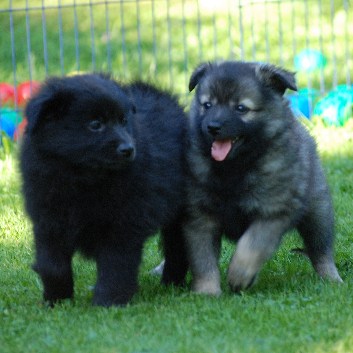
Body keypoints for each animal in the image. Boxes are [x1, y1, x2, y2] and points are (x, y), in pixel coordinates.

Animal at [19, 74, 186, 306]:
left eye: (124, 121)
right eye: (95, 124)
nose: (128, 149)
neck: (82, 179)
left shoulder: (123, 224)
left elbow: (115, 265)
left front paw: (108, 303)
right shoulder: (47, 221)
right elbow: (51, 265)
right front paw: (56, 301)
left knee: (177, 247)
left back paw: (171, 283)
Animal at [175, 60, 340, 294]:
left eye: (241, 108)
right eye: (207, 105)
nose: (213, 126)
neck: (234, 167)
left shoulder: (273, 212)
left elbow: (252, 245)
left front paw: (238, 274)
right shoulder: (199, 216)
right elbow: (202, 258)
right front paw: (207, 292)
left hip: (318, 212)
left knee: (321, 249)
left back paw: (332, 279)